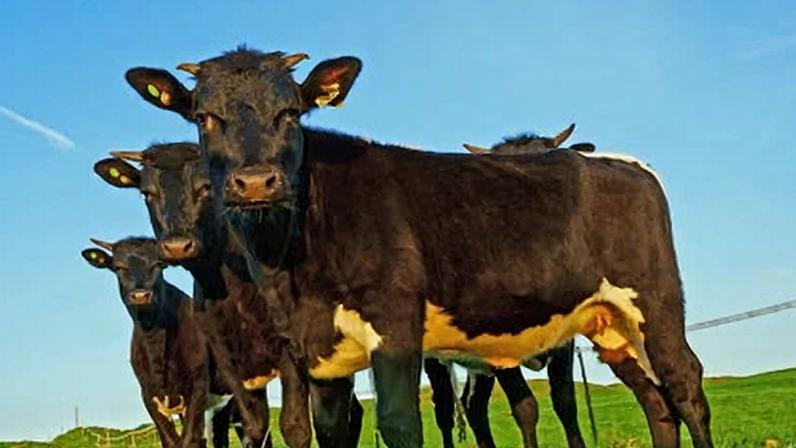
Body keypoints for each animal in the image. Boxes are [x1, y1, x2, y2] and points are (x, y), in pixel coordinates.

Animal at [81, 237, 213, 448]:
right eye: (118, 267)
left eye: (158, 265)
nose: (140, 295)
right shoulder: (148, 394)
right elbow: (170, 439)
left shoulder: (199, 385)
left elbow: (189, 439)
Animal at [124, 48, 713, 448]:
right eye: (204, 117)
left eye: (290, 113)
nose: (255, 182)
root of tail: (612, 160)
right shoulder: (319, 357)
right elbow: (329, 430)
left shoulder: (396, 329)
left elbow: (401, 424)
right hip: (610, 325)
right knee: (656, 401)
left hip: (655, 300)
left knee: (685, 384)